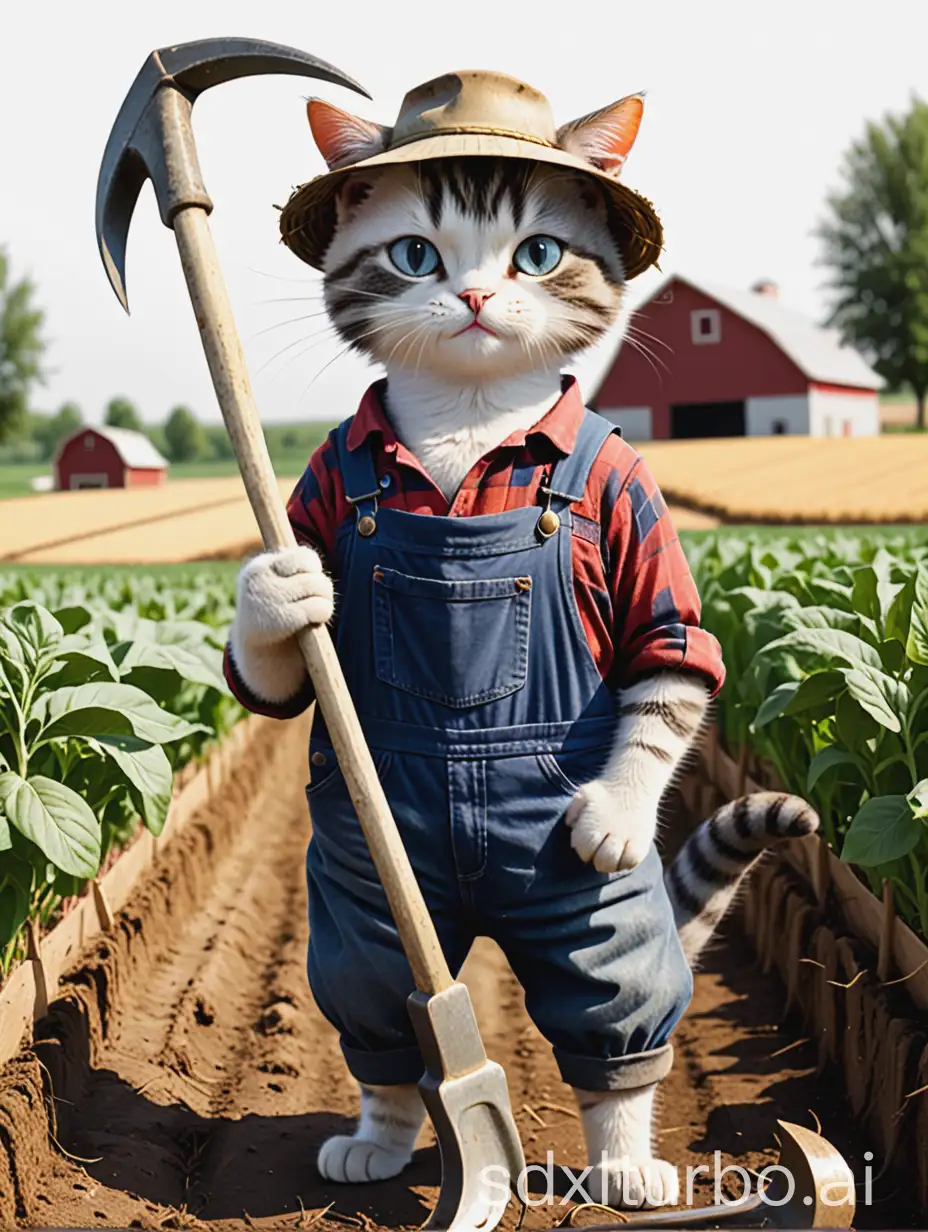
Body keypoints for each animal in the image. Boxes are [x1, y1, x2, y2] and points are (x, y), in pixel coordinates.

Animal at [230, 91, 818, 1207]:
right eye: (414, 254)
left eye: (537, 253)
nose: (470, 293)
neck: (469, 424)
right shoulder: (318, 490)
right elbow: (270, 675)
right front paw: (278, 593)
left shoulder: (638, 517)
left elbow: (672, 665)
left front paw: (616, 813)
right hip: (368, 889)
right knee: (379, 1002)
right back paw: (383, 1135)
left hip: (587, 922)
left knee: (614, 1002)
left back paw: (624, 1165)